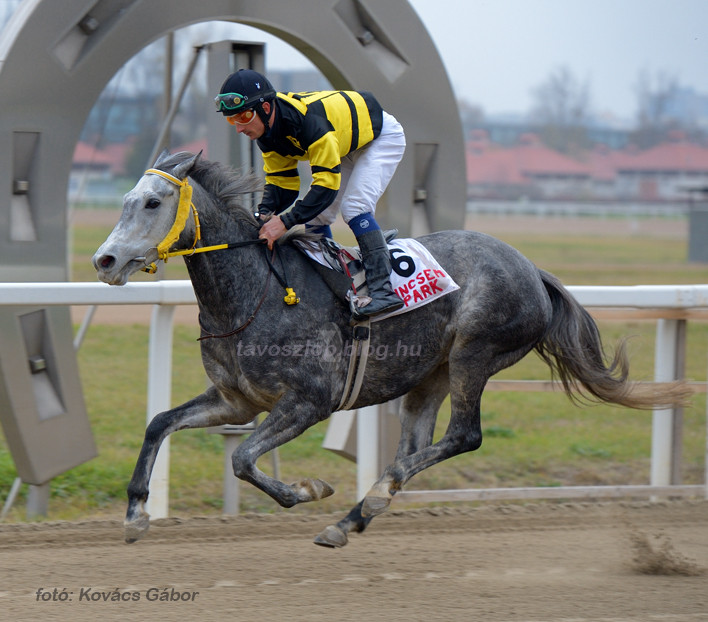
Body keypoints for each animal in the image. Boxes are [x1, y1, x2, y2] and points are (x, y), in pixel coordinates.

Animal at [91, 152, 688, 552]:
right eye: (123, 202)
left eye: (152, 202)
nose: (104, 260)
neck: (251, 291)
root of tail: (531, 267)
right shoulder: (236, 400)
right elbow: (160, 423)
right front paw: (136, 513)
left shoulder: (310, 401)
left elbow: (242, 459)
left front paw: (307, 489)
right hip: (430, 374)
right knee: (416, 447)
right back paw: (354, 516)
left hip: (474, 354)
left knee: (464, 436)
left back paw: (367, 500)